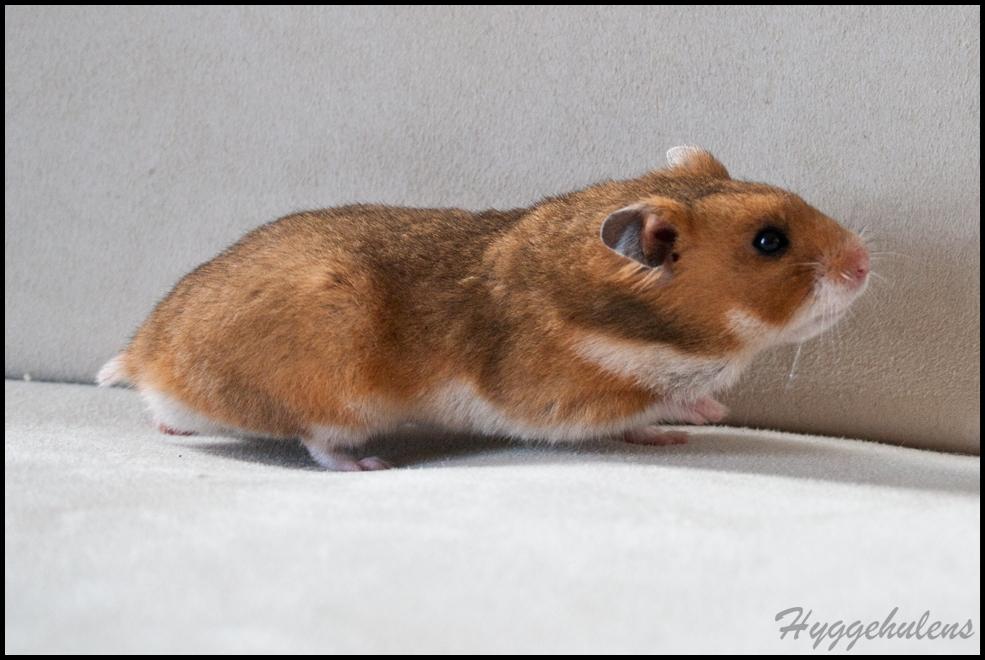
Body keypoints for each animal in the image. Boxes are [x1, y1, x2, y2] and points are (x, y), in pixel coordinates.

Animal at [97, 146, 870, 471]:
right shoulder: (554, 398)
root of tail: (147, 353)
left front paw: (677, 430)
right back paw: (367, 466)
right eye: (768, 241)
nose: (864, 263)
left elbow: (645, 416)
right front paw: (705, 411)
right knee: (317, 441)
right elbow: (651, 400)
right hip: (328, 383)